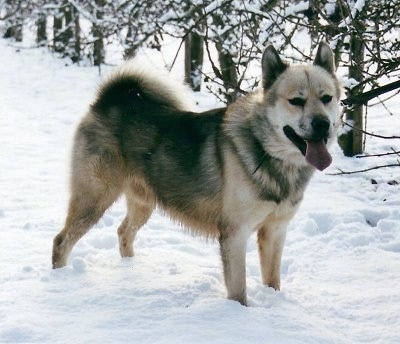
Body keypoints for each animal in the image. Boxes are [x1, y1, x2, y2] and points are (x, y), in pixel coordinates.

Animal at [52, 41, 340, 306]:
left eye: (327, 98)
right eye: (296, 101)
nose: (322, 124)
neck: (267, 151)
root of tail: (107, 101)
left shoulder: (275, 231)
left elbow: (272, 279)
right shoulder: (235, 235)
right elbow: (238, 291)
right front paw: (240, 317)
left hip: (143, 202)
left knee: (124, 232)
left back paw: (131, 271)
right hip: (94, 198)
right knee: (61, 241)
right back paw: (60, 280)